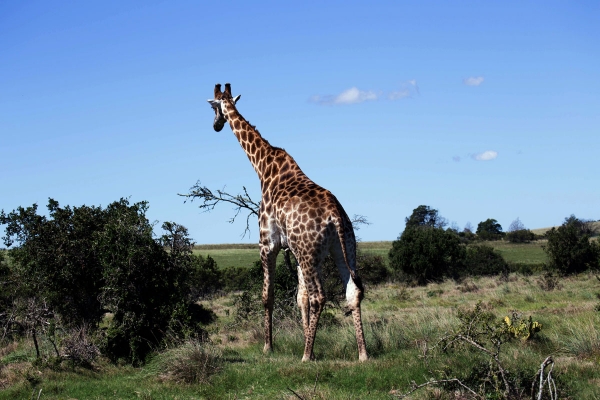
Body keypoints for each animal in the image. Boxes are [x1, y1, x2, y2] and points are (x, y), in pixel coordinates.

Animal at [209, 83, 368, 360]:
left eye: (212, 107)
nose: (216, 125)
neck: (263, 167)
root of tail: (336, 216)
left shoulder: (267, 243)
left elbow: (268, 295)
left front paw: (268, 346)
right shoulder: (292, 249)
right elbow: (299, 297)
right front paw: (307, 341)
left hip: (309, 250)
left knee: (319, 296)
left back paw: (306, 356)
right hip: (344, 247)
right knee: (352, 291)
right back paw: (362, 355)